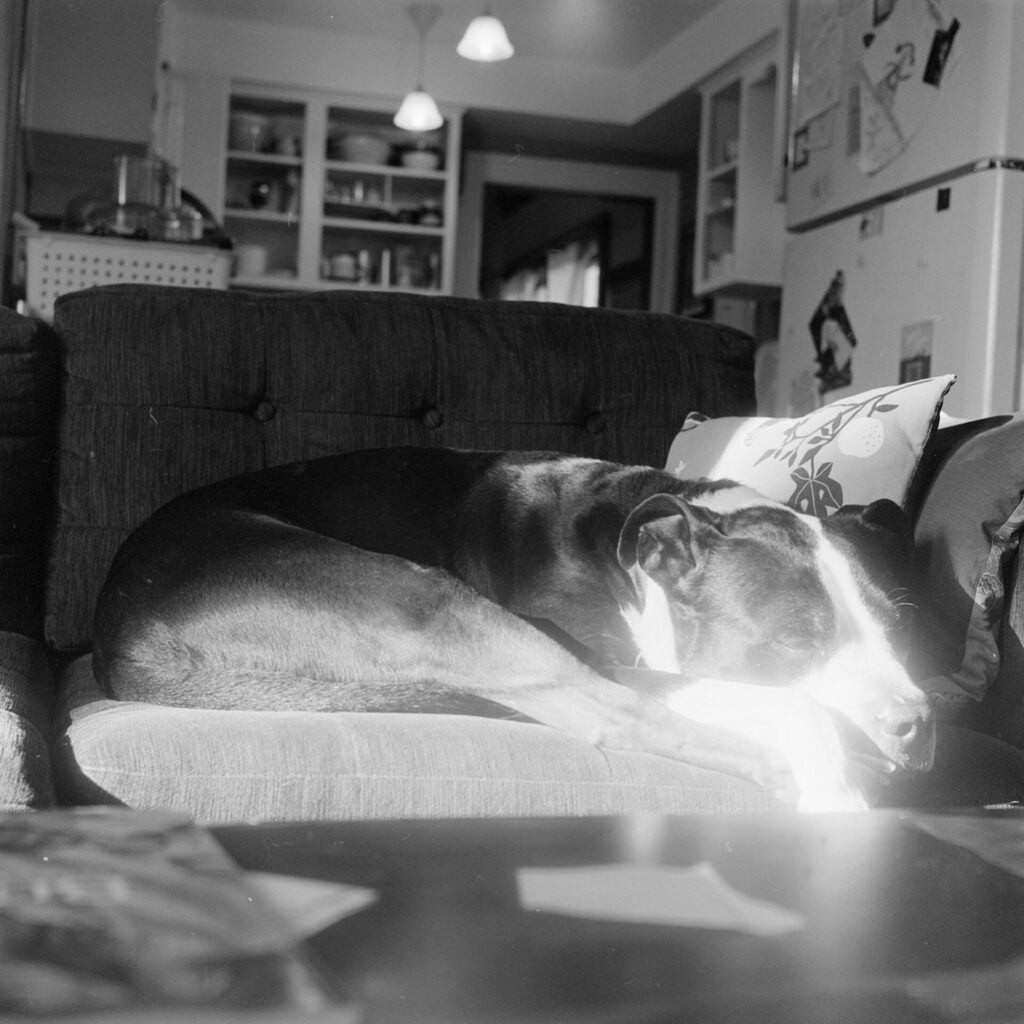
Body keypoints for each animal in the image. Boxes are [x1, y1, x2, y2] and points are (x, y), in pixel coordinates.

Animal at [92, 446, 933, 806]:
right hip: (430, 598)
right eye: (794, 642)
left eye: (902, 630)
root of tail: (123, 632)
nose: (913, 723)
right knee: (625, 718)